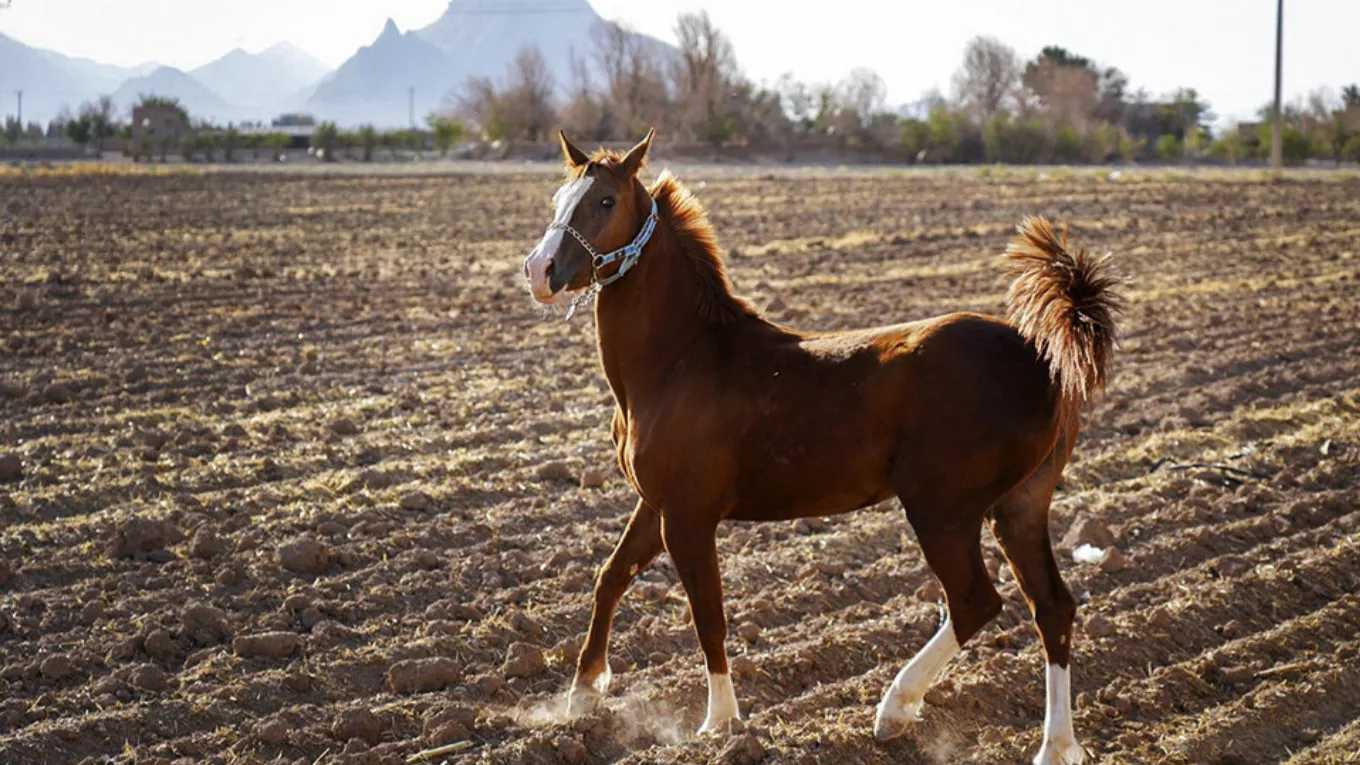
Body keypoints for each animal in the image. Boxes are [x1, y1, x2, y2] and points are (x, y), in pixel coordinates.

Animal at [521, 129, 1119, 765]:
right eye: (559, 196)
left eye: (605, 201)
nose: (539, 270)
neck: (680, 359)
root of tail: (1041, 356)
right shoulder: (656, 504)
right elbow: (610, 576)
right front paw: (582, 695)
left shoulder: (688, 515)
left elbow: (708, 614)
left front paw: (720, 723)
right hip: (1019, 506)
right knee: (1052, 608)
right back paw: (1055, 746)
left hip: (943, 509)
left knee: (975, 601)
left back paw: (894, 709)